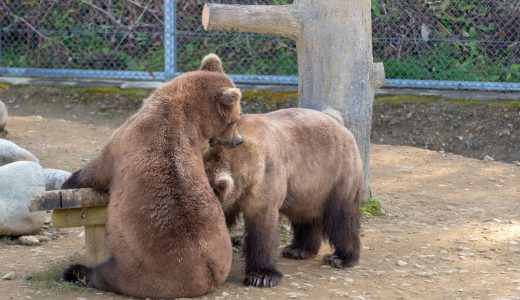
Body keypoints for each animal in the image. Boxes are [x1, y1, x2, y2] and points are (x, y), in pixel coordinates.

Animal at [59, 53, 244, 298]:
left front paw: (68, 181)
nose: (239, 140)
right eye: (235, 120)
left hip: (143, 269)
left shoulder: (125, 140)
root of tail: (207, 275)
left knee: (109, 274)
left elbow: (98, 169)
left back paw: (75, 272)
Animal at [203, 106, 362, 288]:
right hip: (308, 188)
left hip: (337, 173)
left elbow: (263, 226)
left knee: (341, 217)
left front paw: (261, 276)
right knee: (306, 216)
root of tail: (344, 129)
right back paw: (298, 249)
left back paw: (341, 258)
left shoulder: (265, 178)